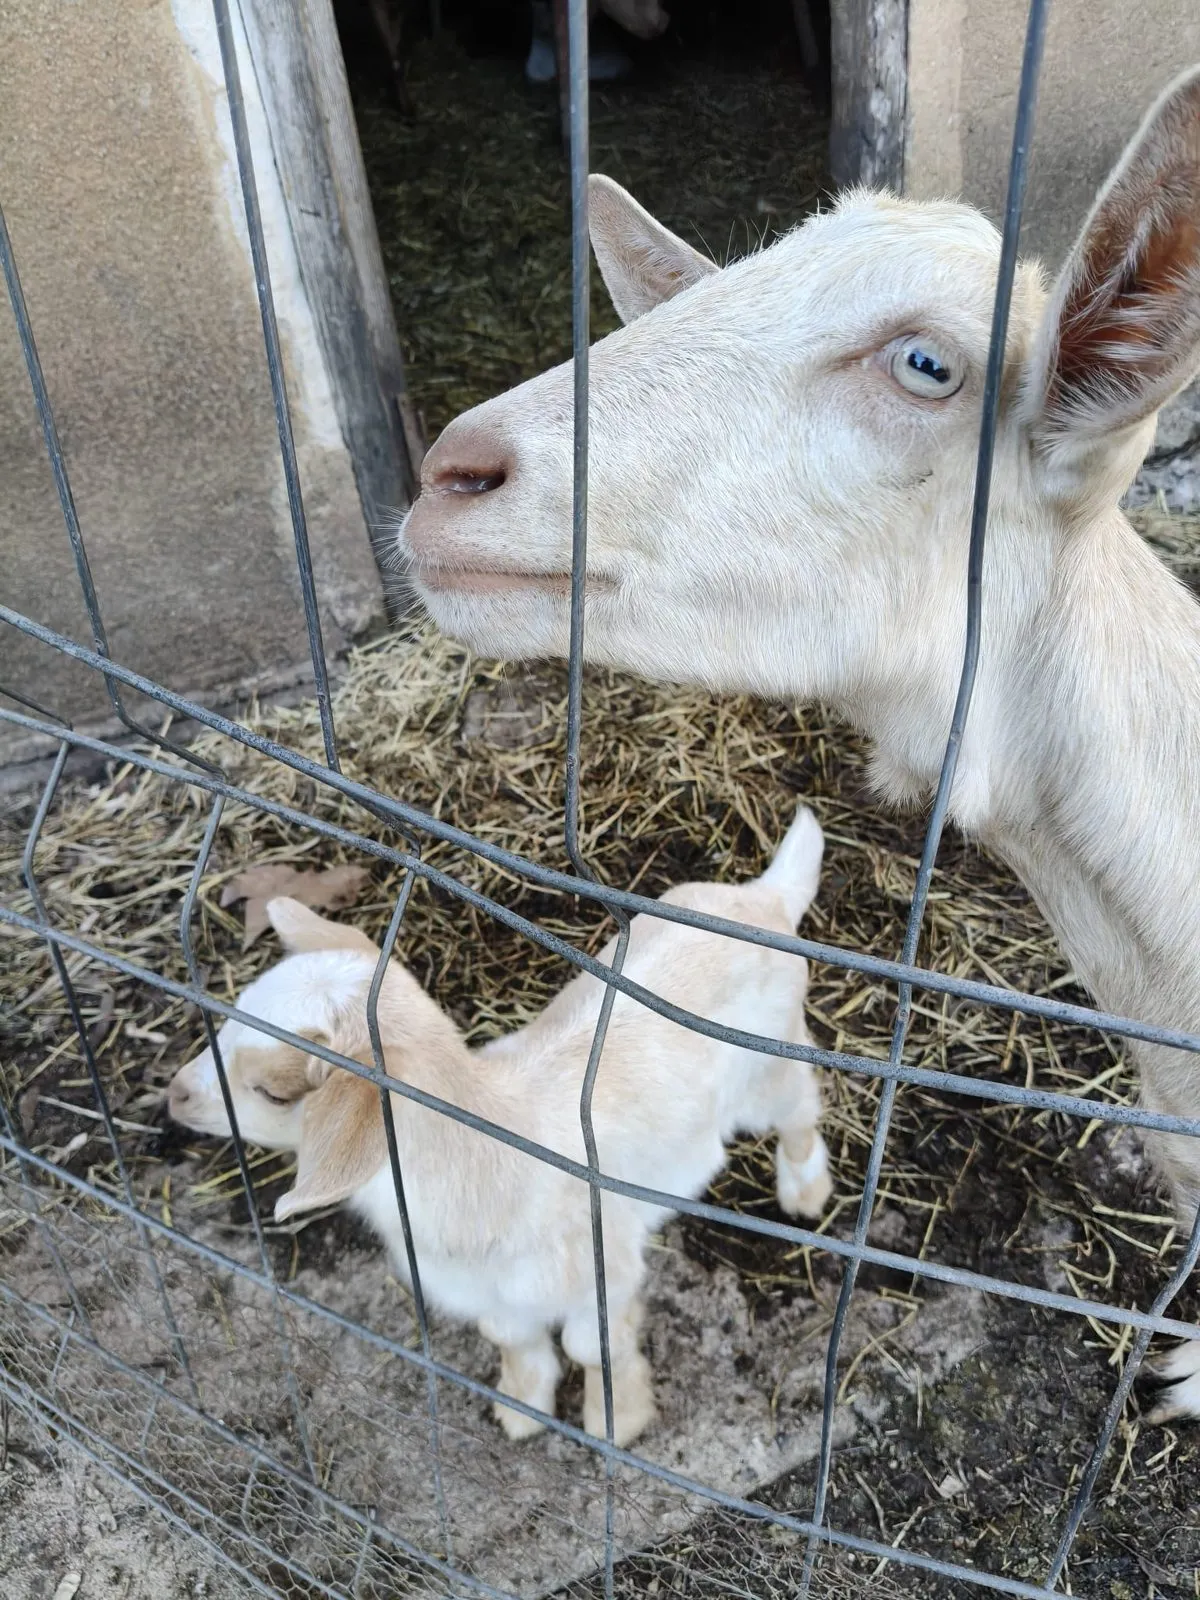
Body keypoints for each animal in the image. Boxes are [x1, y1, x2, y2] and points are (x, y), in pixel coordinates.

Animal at [167, 808, 831, 1447]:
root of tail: (766, 900)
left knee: (800, 1111)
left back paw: (805, 1191)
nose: (174, 1096)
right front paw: (521, 1407)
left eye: (273, 1092)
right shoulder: (489, 1294)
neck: (489, 1144)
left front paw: (617, 1421)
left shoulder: (602, 1270)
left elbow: (592, 1348)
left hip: (770, 1069)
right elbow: (511, 1338)